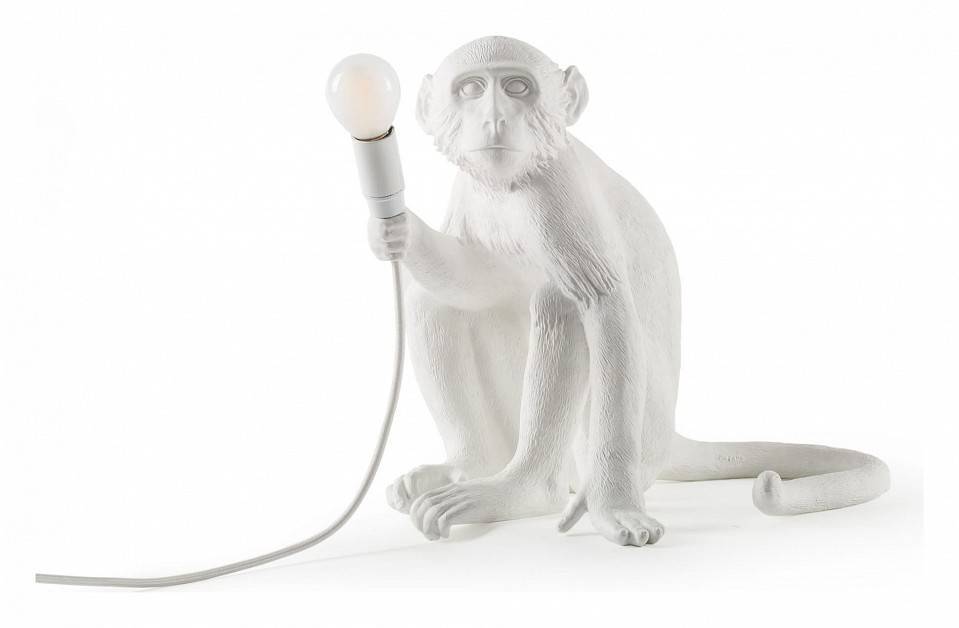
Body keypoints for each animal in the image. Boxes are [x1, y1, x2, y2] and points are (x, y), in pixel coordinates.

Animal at [367, 36, 889, 546]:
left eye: (517, 88)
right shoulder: (471, 186)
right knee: (436, 303)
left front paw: (613, 506)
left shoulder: (556, 192)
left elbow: (602, 305)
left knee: (559, 303)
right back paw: (472, 465)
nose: (493, 119)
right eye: (471, 89)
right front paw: (397, 231)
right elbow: (477, 278)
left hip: (631, 426)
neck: (513, 183)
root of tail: (669, 437)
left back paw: (527, 490)